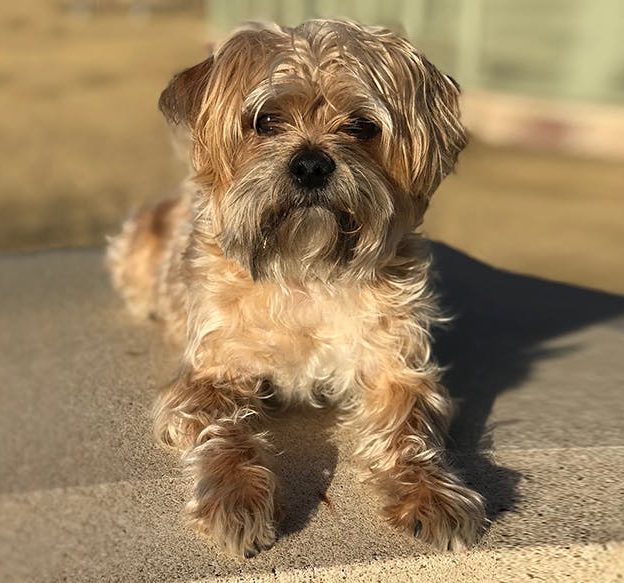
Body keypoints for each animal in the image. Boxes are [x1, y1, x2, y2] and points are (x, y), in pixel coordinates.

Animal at [107, 17, 488, 556]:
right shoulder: (210, 375)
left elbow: (407, 430)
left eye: (361, 125)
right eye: (265, 121)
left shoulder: (397, 370)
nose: (311, 163)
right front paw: (234, 497)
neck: (306, 270)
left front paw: (429, 491)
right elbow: (225, 431)